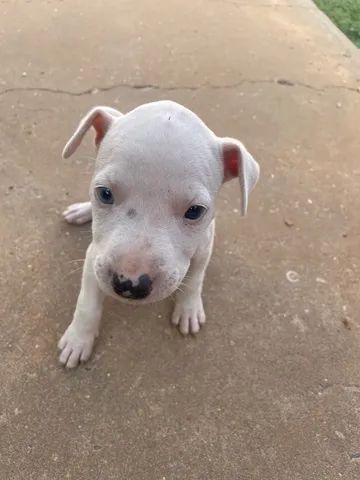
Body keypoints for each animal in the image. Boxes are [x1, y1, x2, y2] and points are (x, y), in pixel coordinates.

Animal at [58, 101, 258, 368]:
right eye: (104, 194)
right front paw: (78, 339)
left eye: (195, 211)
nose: (129, 284)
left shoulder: (204, 247)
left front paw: (188, 309)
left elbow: (195, 279)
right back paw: (81, 210)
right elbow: (86, 302)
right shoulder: (95, 256)